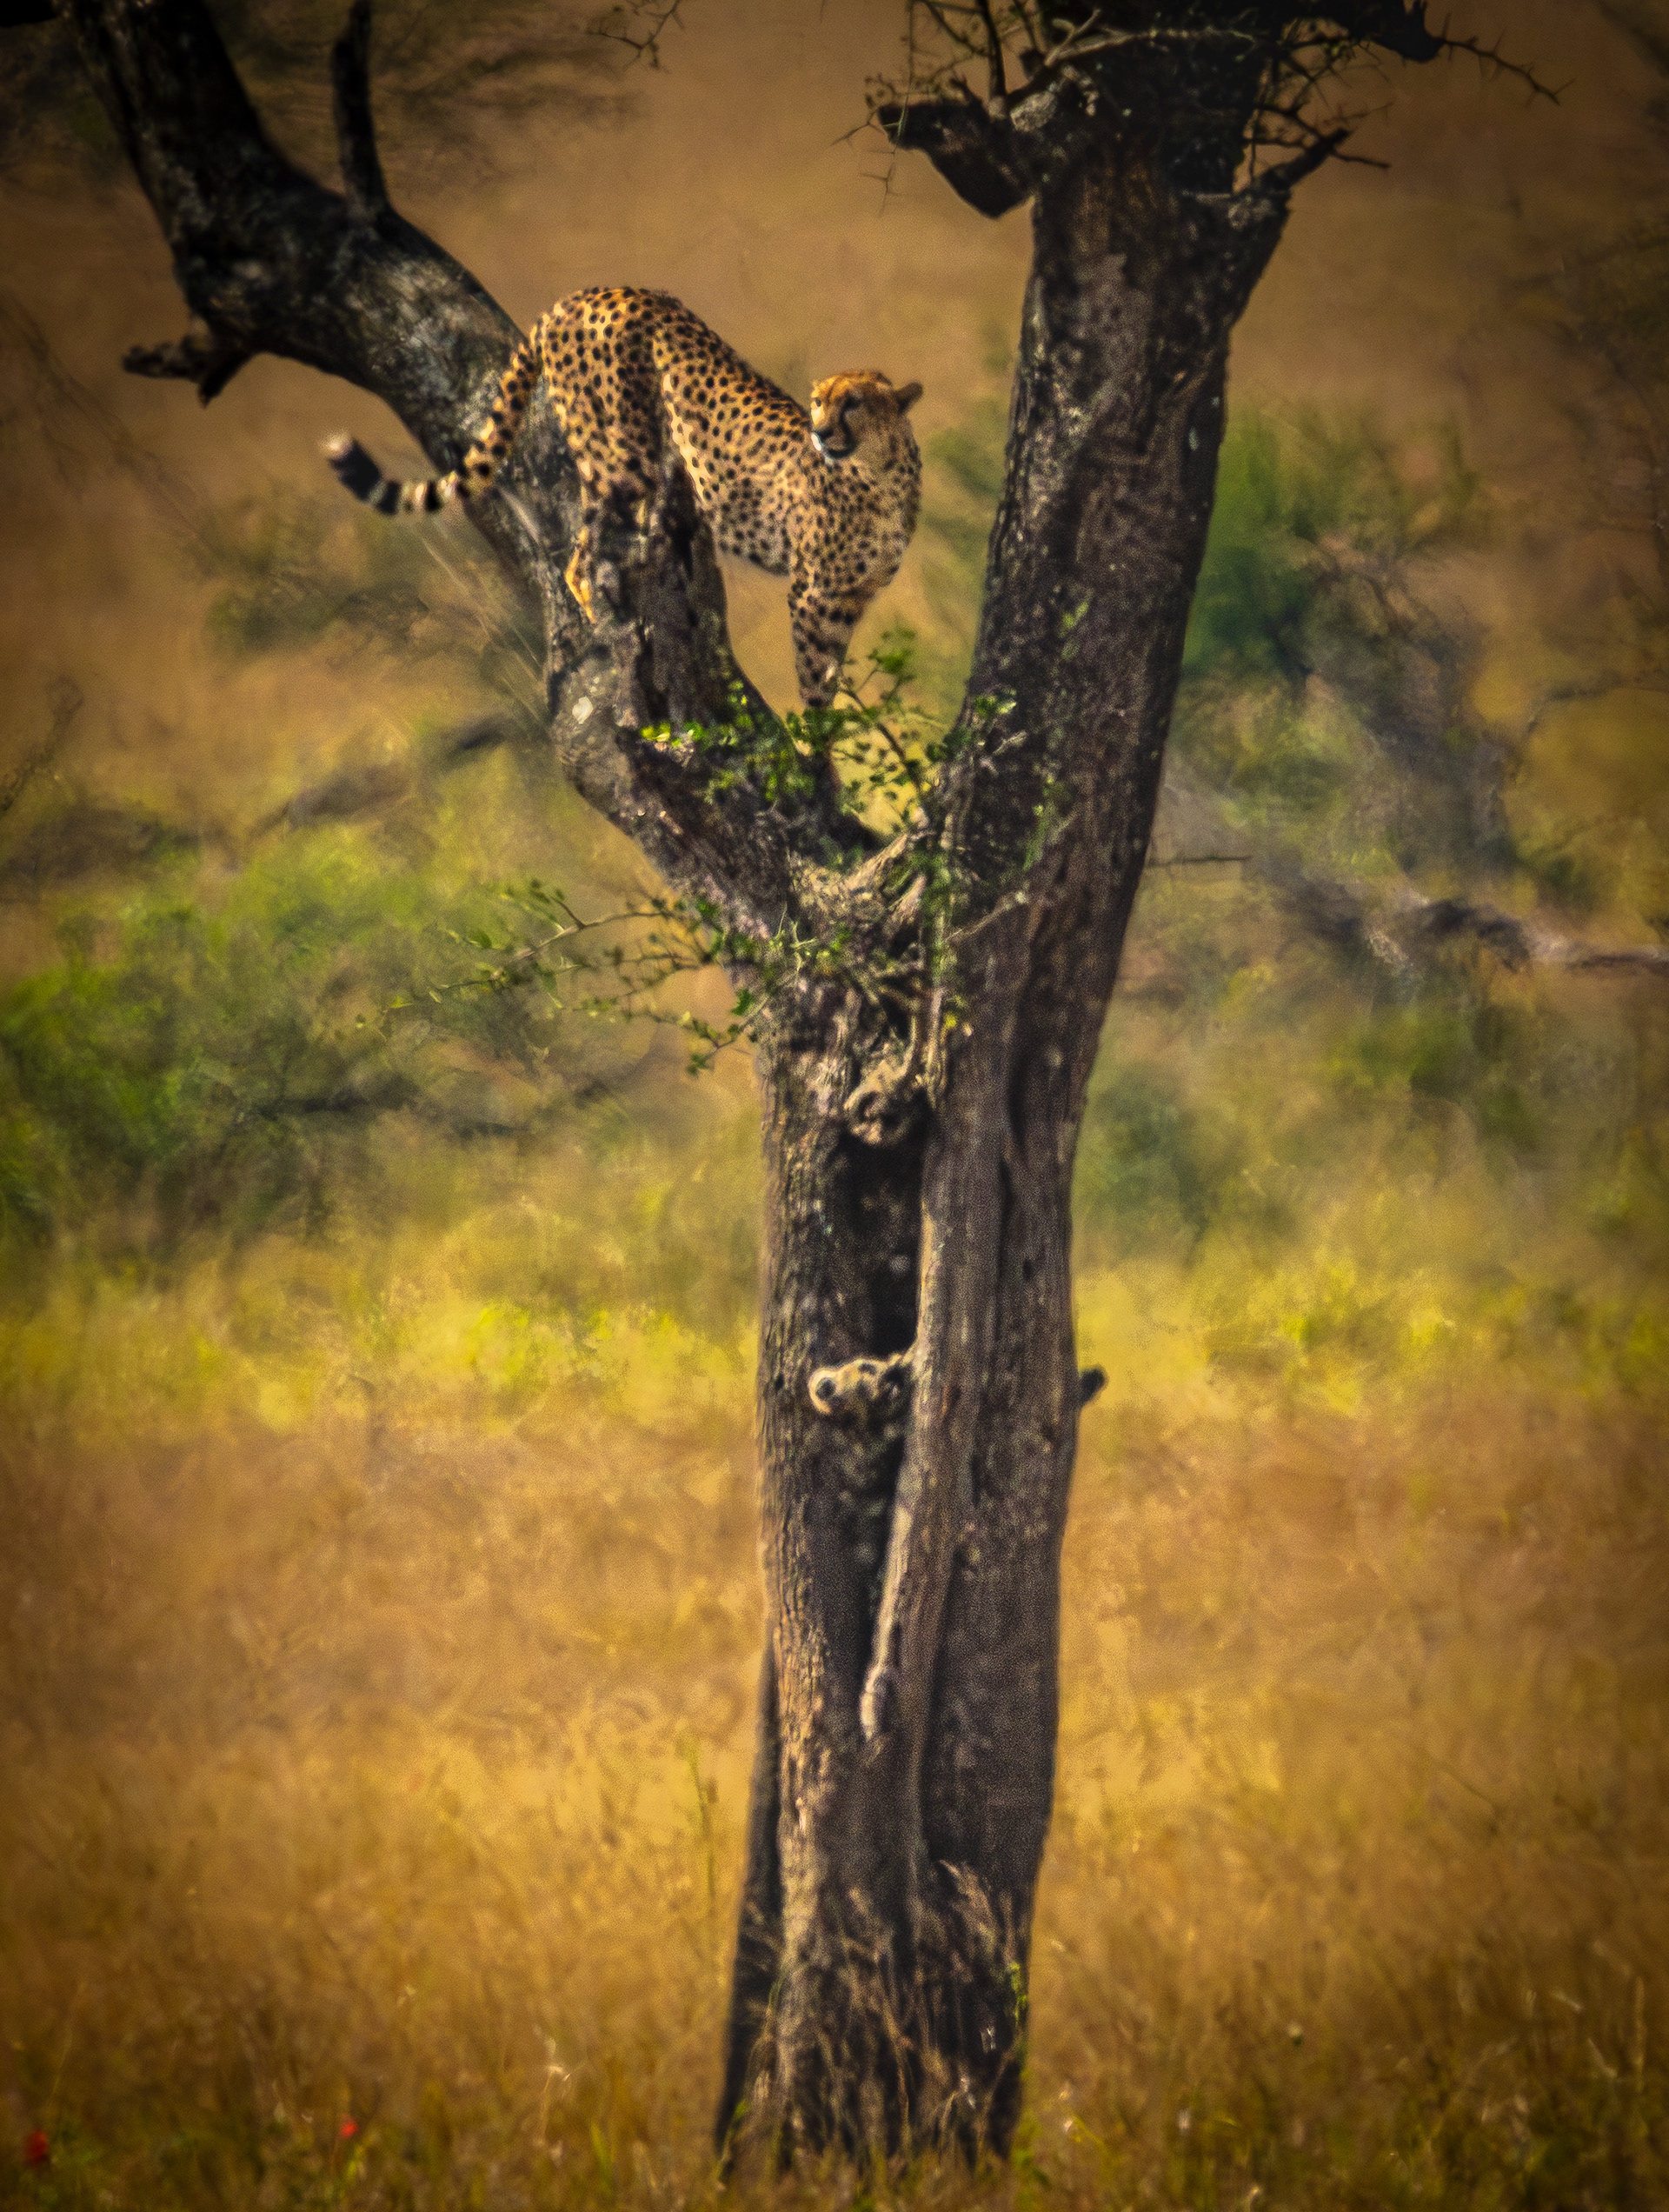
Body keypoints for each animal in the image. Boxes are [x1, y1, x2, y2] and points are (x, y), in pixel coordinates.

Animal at [326, 287, 922, 710]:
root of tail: (590, 292)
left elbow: (829, 673)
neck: (879, 473)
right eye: (819, 402)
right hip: (619, 457)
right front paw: (821, 755)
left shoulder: (850, 598)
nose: (819, 431)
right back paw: (602, 619)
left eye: (853, 404)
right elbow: (814, 680)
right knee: (578, 556)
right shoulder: (813, 592)